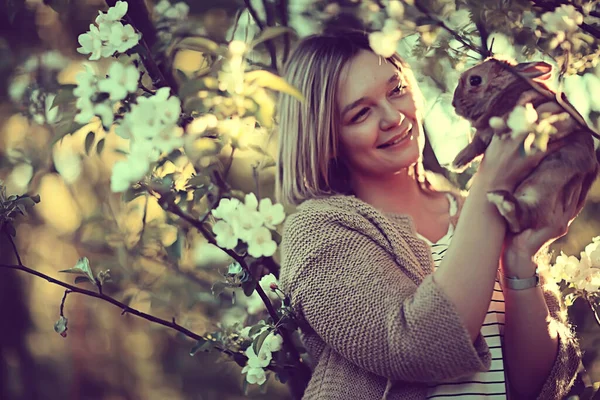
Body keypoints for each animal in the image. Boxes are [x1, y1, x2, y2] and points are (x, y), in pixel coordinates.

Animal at [452, 57, 596, 234]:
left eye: (475, 80)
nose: (453, 103)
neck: (503, 90)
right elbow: (477, 144)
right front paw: (458, 162)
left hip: (548, 176)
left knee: (527, 217)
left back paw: (504, 201)